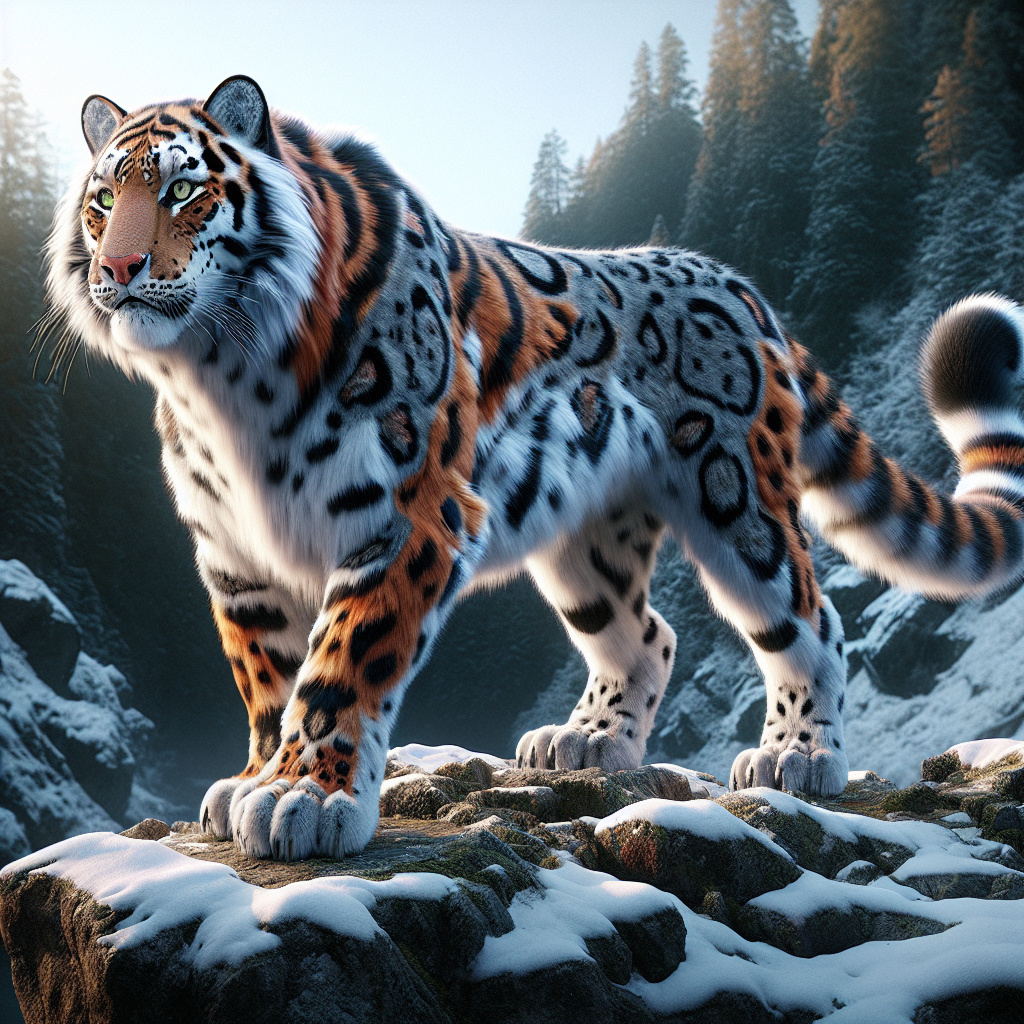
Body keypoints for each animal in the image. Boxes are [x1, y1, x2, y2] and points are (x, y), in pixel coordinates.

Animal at [43, 75, 1024, 860]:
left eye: (182, 189)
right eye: (103, 198)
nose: (118, 265)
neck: (220, 375)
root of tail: (740, 285)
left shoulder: (406, 516)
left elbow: (340, 660)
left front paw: (302, 799)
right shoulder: (235, 556)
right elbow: (265, 678)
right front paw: (251, 780)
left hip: (741, 505)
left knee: (810, 622)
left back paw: (799, 756)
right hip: (588, 549)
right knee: (647, 634)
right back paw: (588, 743)